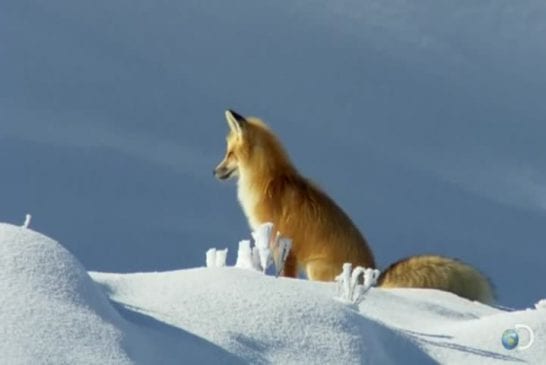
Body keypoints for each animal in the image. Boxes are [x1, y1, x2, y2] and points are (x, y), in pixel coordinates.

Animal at [212, 109, 492, 302]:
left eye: (229, 154)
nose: (214, 172)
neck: (269, 181)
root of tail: (374, 279)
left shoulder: (287, 246)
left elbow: (285, 277)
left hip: (315, 268)